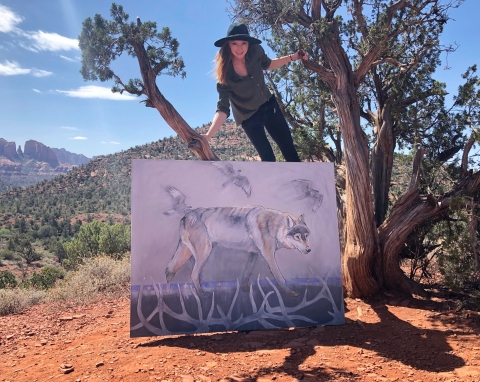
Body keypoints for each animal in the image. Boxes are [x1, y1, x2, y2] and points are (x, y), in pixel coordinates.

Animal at [165, 206, 312, 298]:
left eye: (306, 236)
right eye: (297, 237)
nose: (309, 249)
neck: (273, 225)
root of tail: (185, 217)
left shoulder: (254, 254)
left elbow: (246, 273)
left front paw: (245, 289)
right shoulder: (269, 255)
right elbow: (280, 277)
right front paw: (290, 293)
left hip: (191, 255)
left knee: (173, 270)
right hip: (204, 252)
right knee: (193, 275)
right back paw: (201, 295)